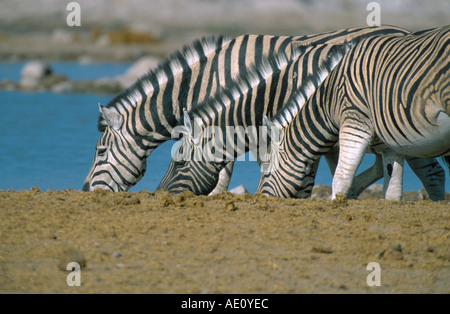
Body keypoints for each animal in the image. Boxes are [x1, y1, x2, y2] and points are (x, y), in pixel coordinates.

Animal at [256, 25, 450, 200]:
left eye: (266, 171)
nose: (259, 199)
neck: (330, 98)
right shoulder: (389, 144)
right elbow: (392, 189)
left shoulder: (355, 123)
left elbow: (340, 179)